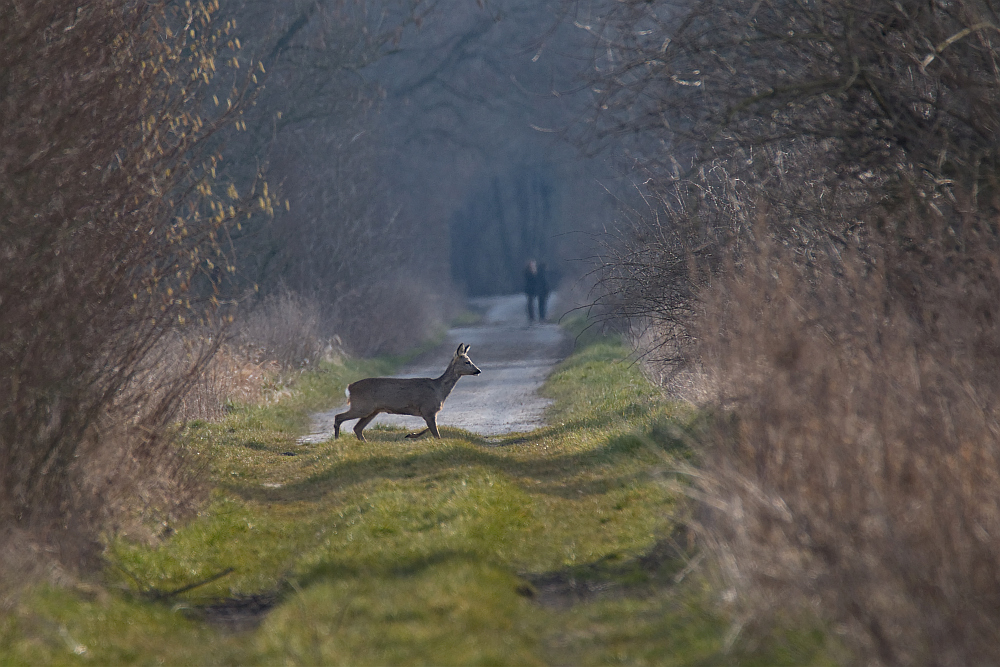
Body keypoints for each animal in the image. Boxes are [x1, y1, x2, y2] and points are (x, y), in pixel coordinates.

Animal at [334, 344, 482, 444]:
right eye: (467, 361)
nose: (478, 370)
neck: (439, 389)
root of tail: (350, 387)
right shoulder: (428, 409)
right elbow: (436, 433)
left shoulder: (428, 412)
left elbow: (433, 429)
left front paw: (411, 434)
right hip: (362, 406)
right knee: (338, 417)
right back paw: (337, 439)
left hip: (372, 410)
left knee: (357, 428)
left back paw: (365, 443)